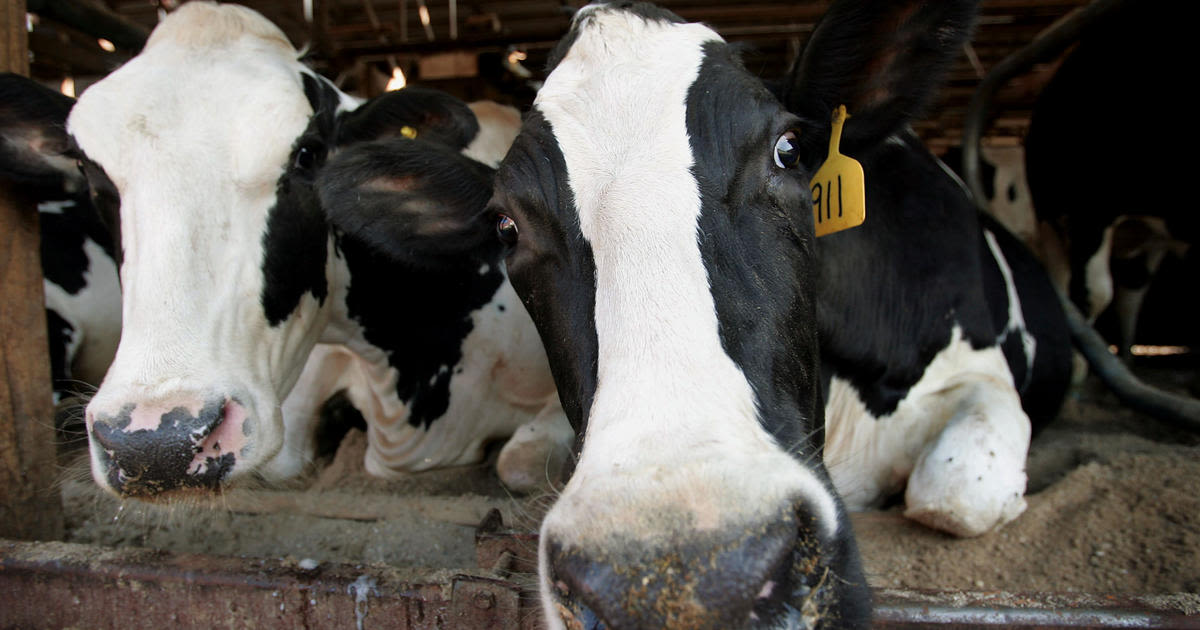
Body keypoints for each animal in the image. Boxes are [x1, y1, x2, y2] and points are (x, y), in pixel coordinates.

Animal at [331, 1, 1080, 624]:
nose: (692, 583)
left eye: (787, 150)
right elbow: (517, 459)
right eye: (507, 226)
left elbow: (954, 494)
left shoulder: (978, 374)